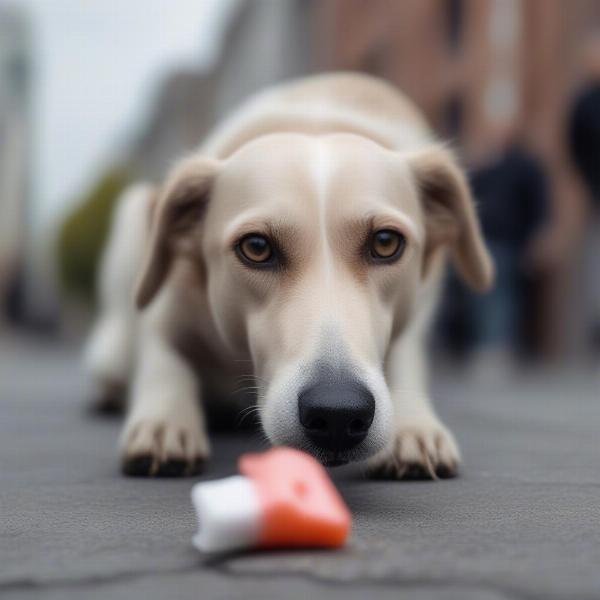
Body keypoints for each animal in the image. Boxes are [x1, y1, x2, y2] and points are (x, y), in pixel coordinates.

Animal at [86, 74, 494, 478]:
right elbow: (163, 355)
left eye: (385, 242)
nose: (337, 414)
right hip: (131, 221)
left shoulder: (417, 310)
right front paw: (165, 420)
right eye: (256, 247)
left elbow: (407, 357)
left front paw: (414, 424)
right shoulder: (168, 301)